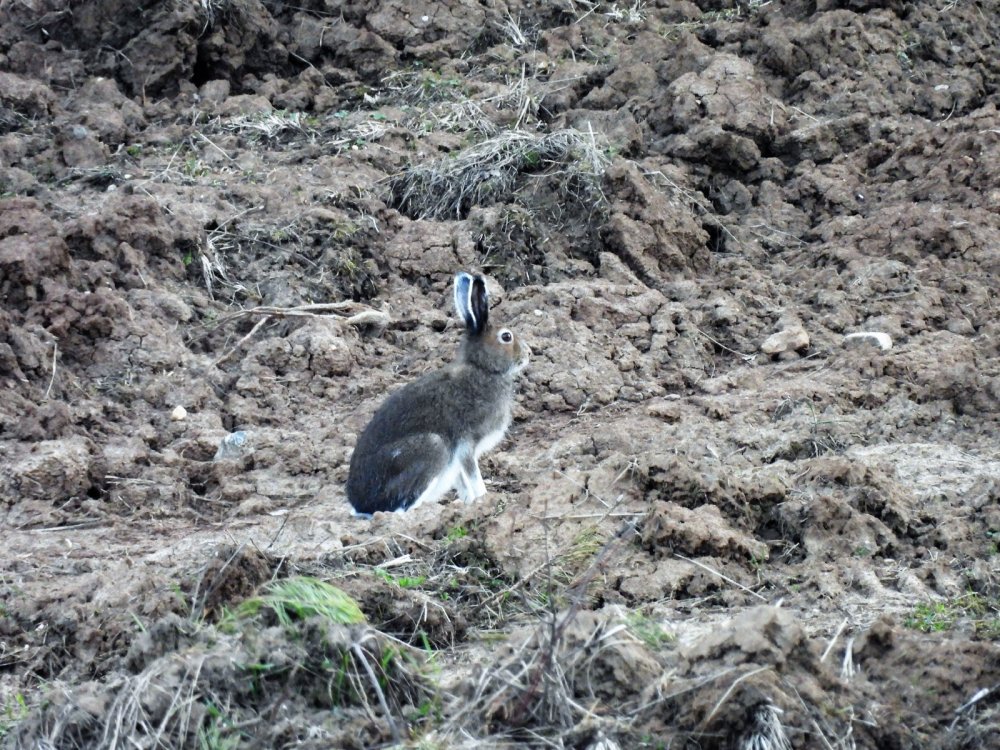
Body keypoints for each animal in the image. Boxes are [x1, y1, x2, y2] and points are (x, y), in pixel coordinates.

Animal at [347, 272, 529, 517]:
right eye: (506, 337)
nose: (529, 353)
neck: (481, 368)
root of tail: (361, 506)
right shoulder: (466, 445)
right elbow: (473, 476)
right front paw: (484, 499)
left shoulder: (458, 459)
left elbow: (463, 482)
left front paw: (469, 503)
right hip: (431, 450)